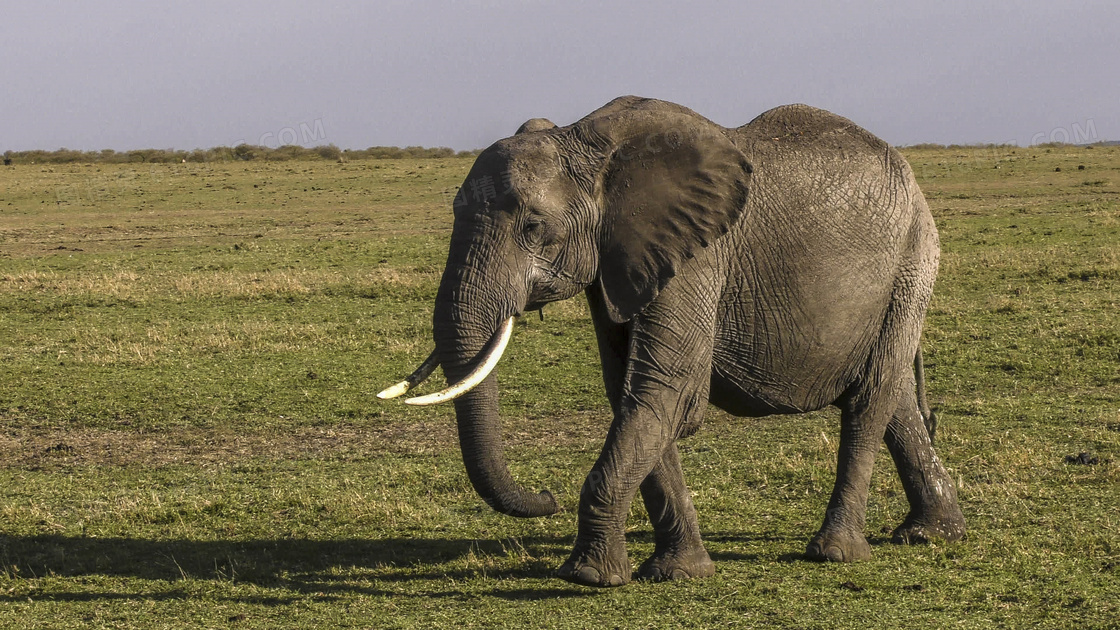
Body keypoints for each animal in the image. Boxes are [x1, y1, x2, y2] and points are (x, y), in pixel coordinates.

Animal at [380, 95, 967, 587]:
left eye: (532, 227)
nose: (545, 496)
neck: (583, 142)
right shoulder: (618, 260)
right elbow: (632, 394)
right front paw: (677, 573)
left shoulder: (696, 256)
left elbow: (668, 390)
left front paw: (587, 578)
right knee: (893, 400)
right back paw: (931, 535)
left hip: (913, 260)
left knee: (869, 399)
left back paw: (835, 552)